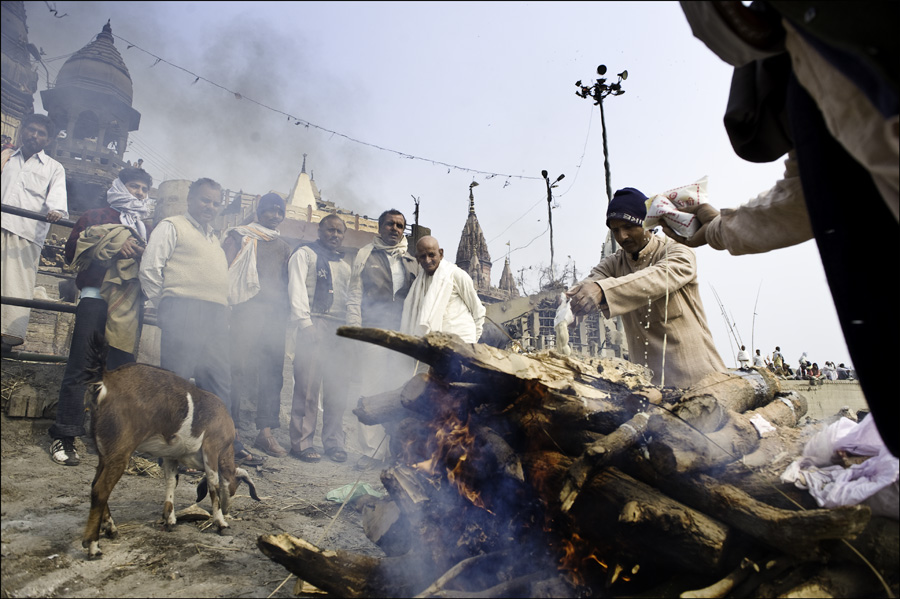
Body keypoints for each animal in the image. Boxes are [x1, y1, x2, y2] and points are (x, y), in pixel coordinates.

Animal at [80, 332, 260, 556]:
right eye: (238, 485)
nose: (228, 510)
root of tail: (105, 380)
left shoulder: (171, 455)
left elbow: (171, 481)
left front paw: (170, 519)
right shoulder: (212, 449)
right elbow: (214, 485)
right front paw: (221, 522)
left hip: (104, 449)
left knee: (95, 484)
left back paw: (111, 528)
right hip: (120, 450)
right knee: (100, 490)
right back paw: (93, 545)